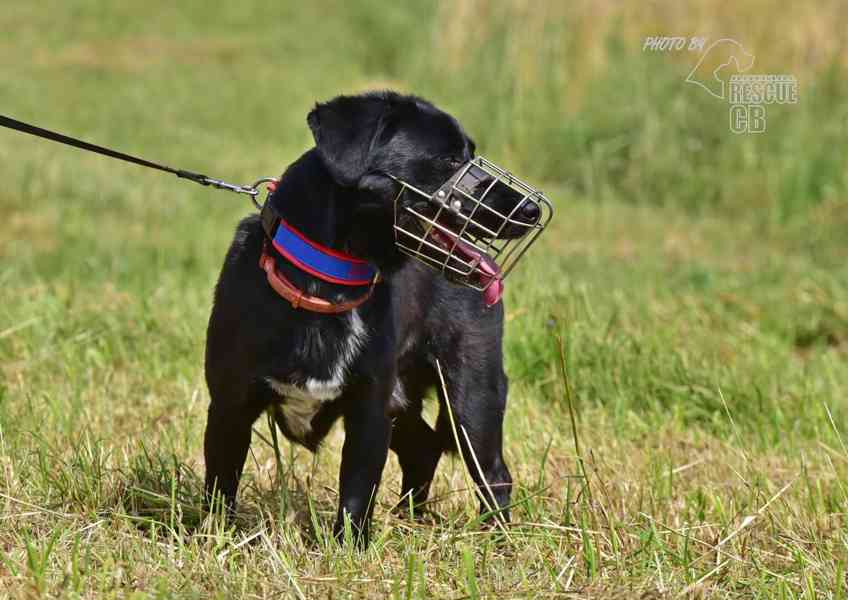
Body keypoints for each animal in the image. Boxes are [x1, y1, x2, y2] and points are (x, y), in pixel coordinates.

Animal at [203, 91, 540, 548]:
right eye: (450, 159)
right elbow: (220, 488)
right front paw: (214, 540)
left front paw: (348, 550)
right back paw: (411, 519)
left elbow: (356, 494)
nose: (531, 208)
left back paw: (497, 541)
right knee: (424, 448)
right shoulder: (230, 404)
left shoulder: (369, 411)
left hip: (471, 394)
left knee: (494, 475)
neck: (327, 284)